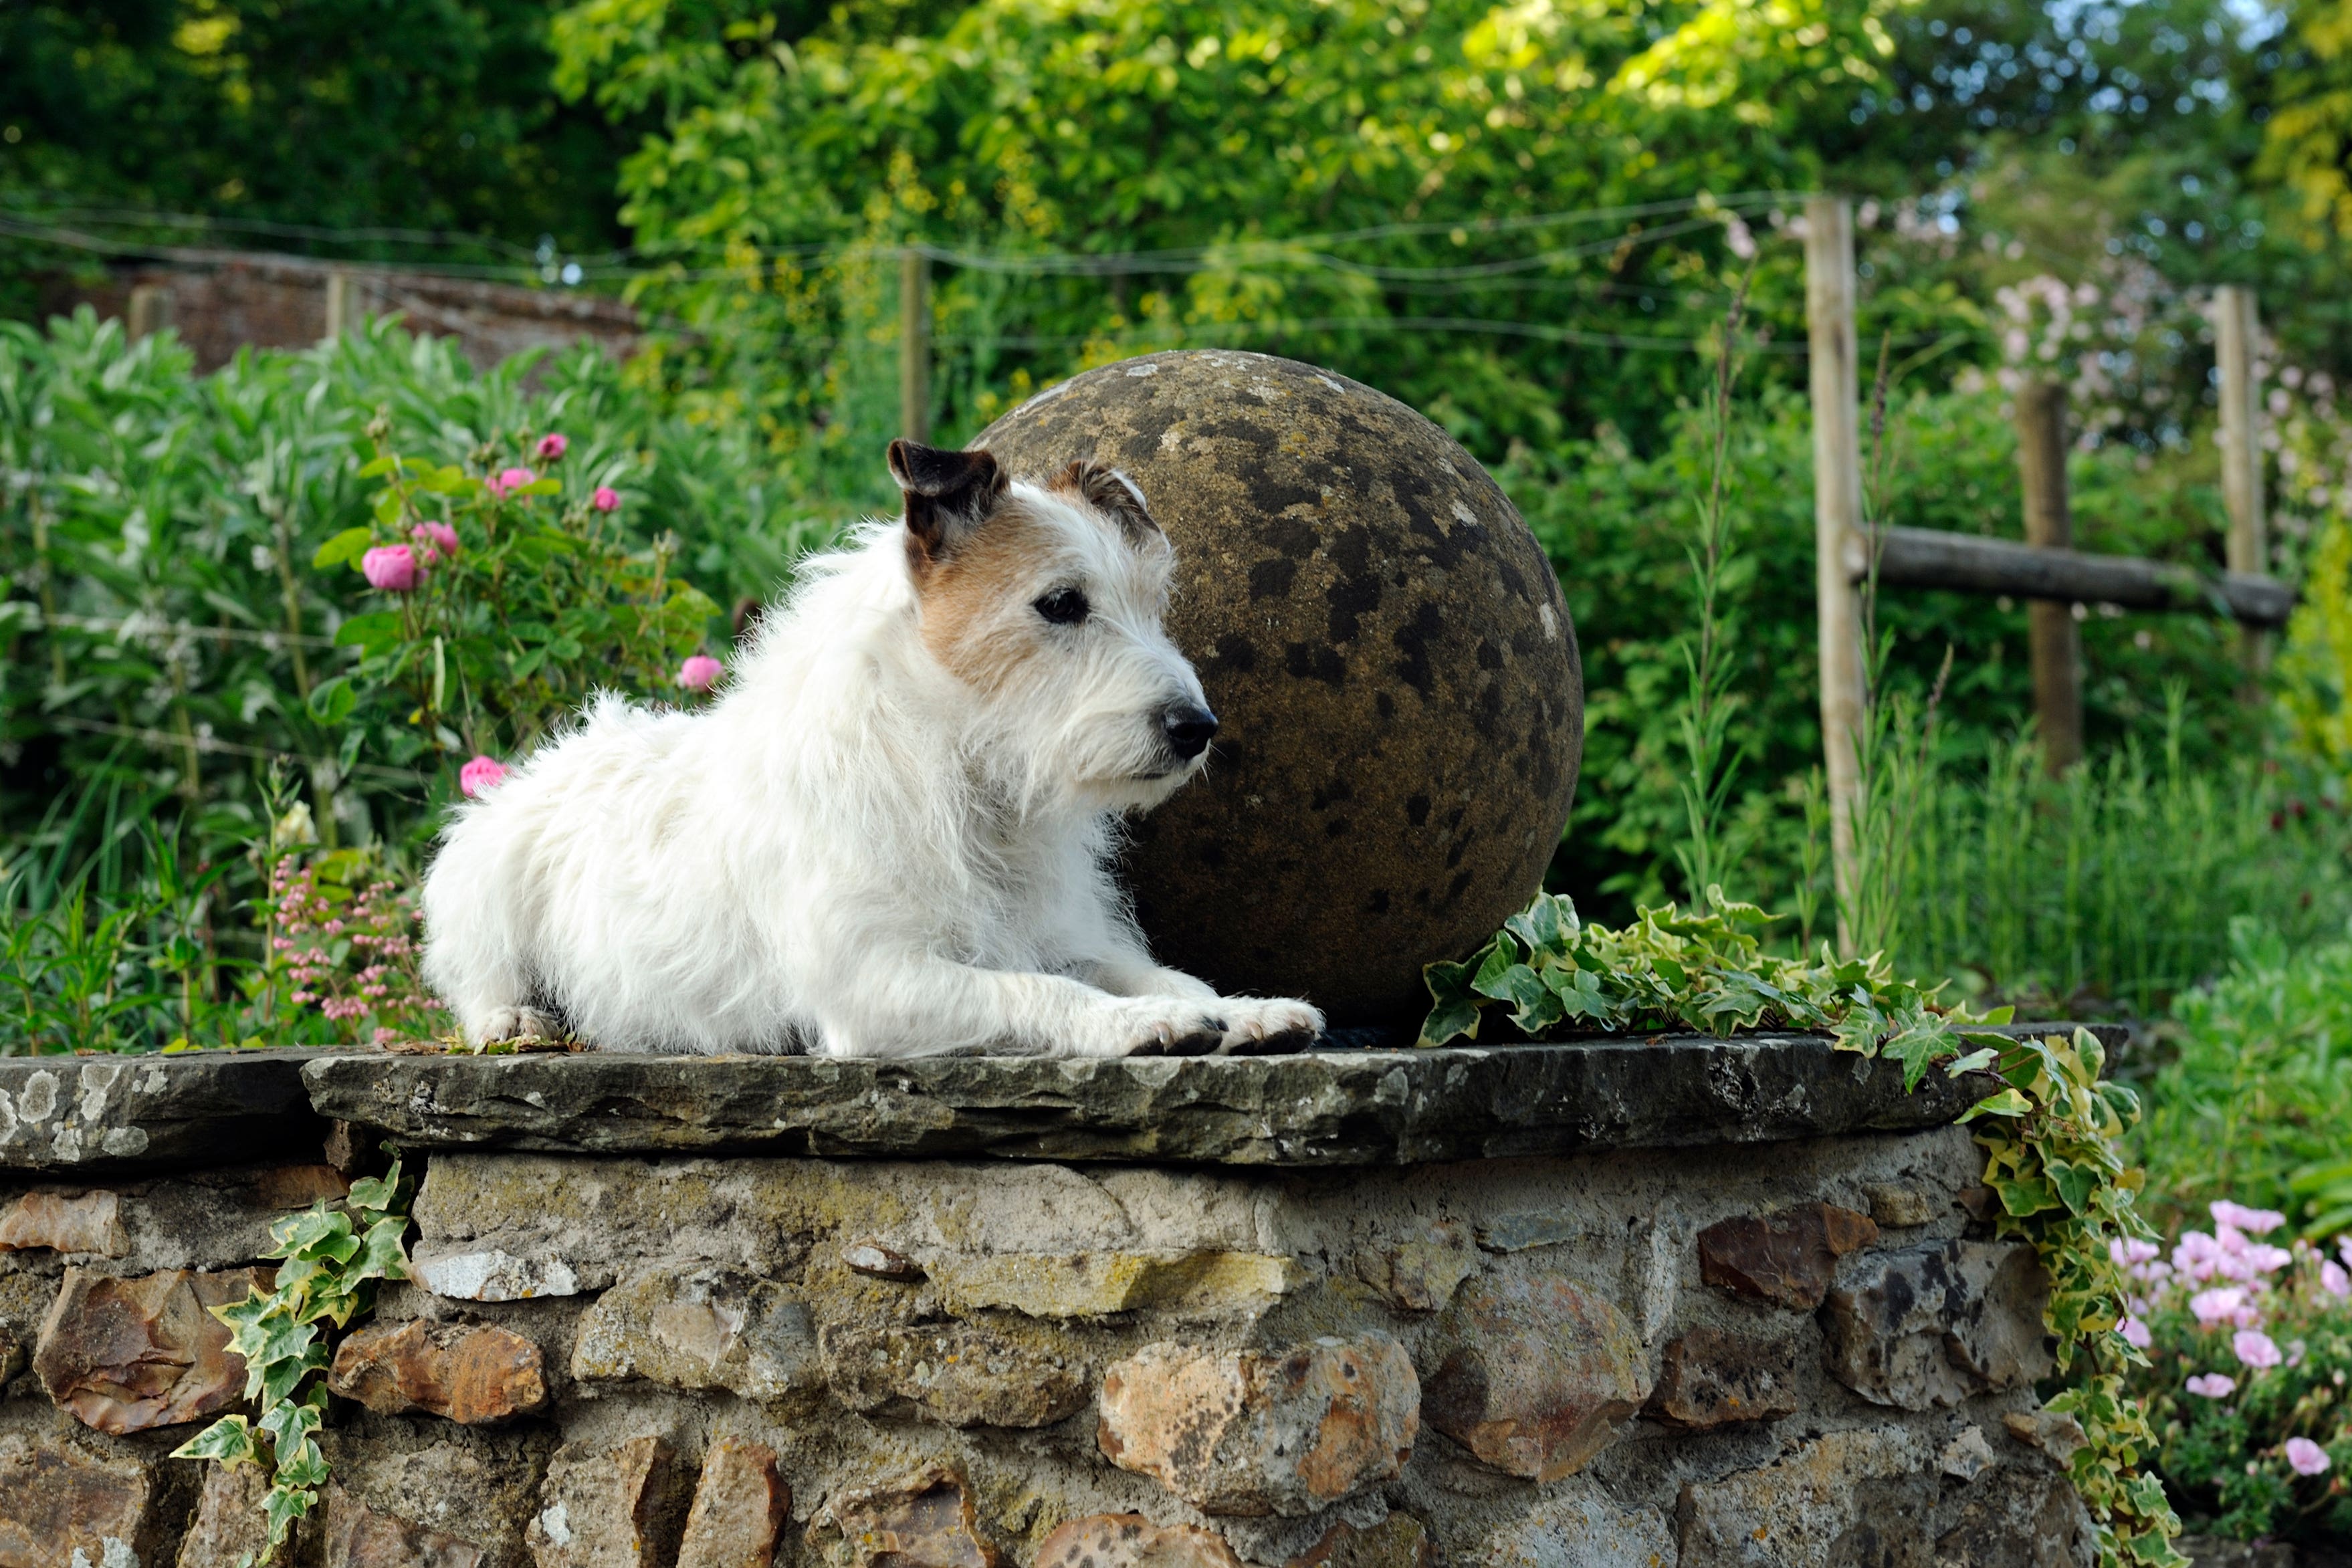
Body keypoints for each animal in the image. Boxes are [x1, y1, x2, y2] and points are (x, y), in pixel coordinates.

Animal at [421, 435, 1326, 1062]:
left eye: (1151, 606)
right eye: (1062, 602)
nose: (1197, 727)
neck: (957, 767)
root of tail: (562, 749)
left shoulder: (1066, 935)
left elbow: (1152, 970)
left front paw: (1238, 1007)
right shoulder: (877, 981)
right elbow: (1038, 992)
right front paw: (1143, 1020)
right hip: (482, 880)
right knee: (474, 980)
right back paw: (513, 1015)